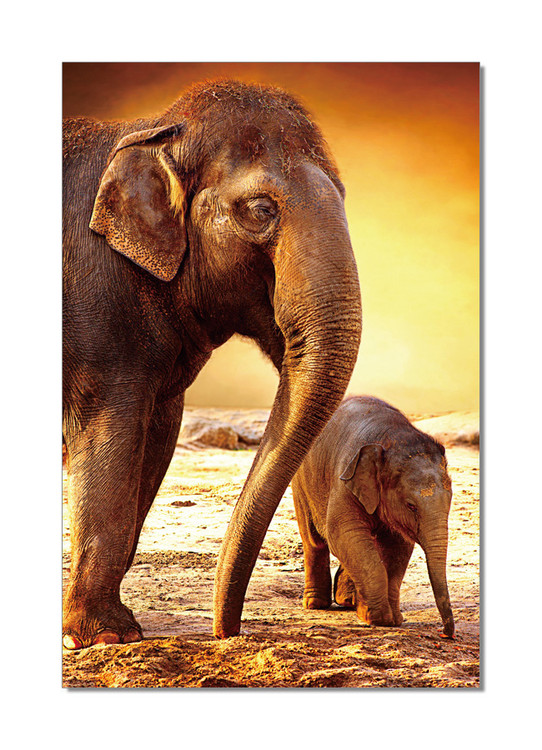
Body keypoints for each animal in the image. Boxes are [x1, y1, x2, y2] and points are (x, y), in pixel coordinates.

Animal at [62, 79, 362, 648]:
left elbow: (155, 441)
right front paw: (105, 637)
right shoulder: (96, 308)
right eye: (262, 209)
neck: (152, 130)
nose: (226, 633)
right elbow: (110, 436)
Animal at [291, 396, 455, 637]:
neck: (392, 437)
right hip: (302, 482)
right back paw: (315, 604)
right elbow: (342, 533)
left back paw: (348, 601)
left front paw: (393, 619)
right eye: (411, 506)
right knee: (313, 540)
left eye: (450, 501)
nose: (445, 632)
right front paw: (379, 618)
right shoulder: (345, 478)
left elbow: (397, 548)